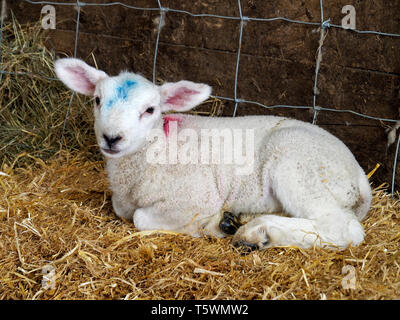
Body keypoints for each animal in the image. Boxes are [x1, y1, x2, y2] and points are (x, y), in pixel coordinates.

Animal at [54, 58, 374, 251]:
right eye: (97, 100)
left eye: (150, 110)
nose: (112, 138)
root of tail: (360, 176)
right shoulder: (122, 201)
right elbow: (124, 212)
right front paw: (222, 222)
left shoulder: (196, 197)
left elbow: (141, 219)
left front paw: (207, 225)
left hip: (298, 166)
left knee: (341, 229)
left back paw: (258, 233)